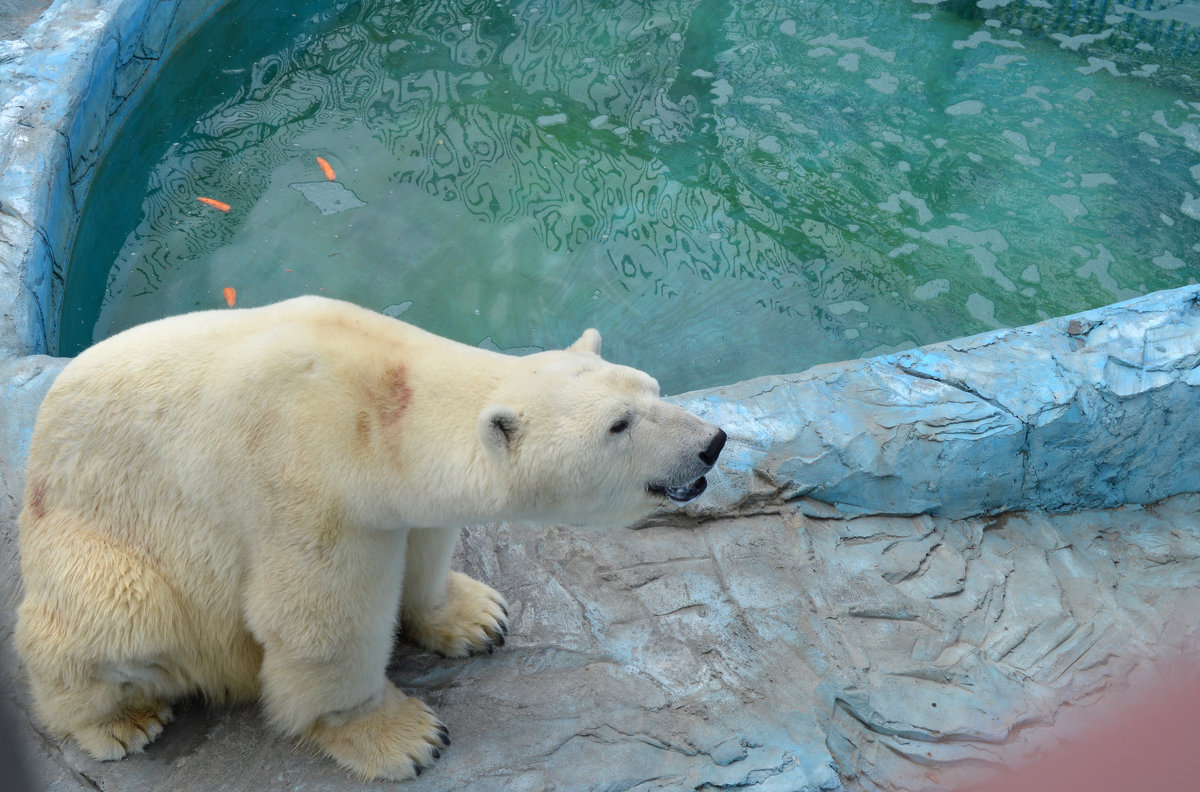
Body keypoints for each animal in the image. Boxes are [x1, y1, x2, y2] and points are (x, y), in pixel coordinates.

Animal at [14, 295, 724, 777]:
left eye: (655, 389)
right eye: (620, 424)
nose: (713, 443)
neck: (378, 401)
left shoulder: (392, 493)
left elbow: (425, 546)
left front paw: (477, 618)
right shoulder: (304, 483)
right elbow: (320, 624)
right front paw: (405, 738)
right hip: (96, 541)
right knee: (117, 616)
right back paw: (122, 722)